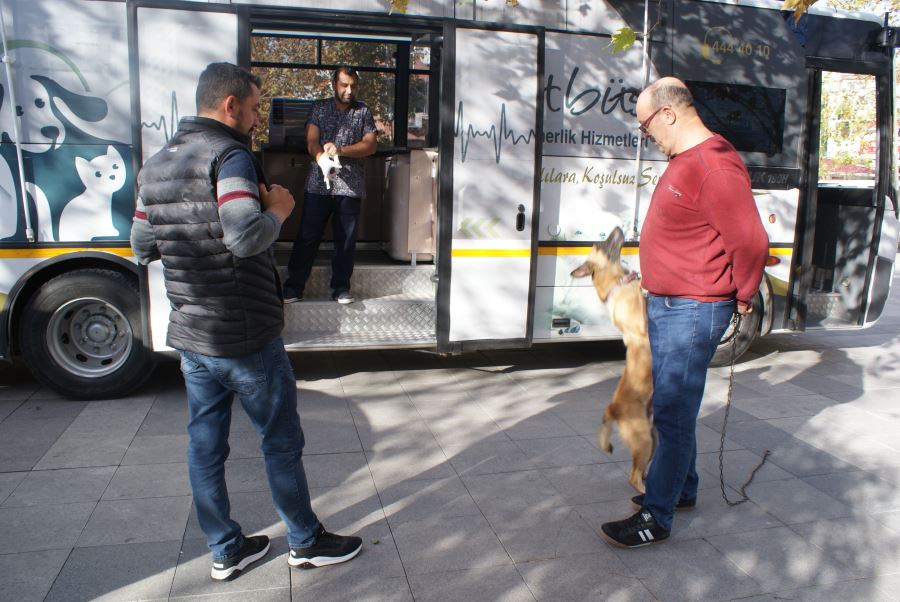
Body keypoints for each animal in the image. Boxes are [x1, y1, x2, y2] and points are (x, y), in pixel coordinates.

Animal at [568, 227, 652, 490]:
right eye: (600, 244)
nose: (618, 227)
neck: (619, 284)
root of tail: (611, 409)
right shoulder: (641, 327)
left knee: (640, 471)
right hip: (645, 439)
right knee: (634, 477)